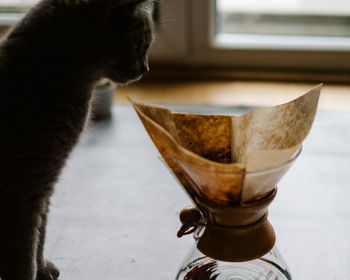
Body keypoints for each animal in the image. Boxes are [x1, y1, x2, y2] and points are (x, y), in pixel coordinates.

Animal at [0, 0, 154, 278]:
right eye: (139, 45)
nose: (146, 68)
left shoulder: (44, 185)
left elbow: (40, 234)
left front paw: (42, 268)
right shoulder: (22, 193)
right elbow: (23, 255)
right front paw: (33, 271)